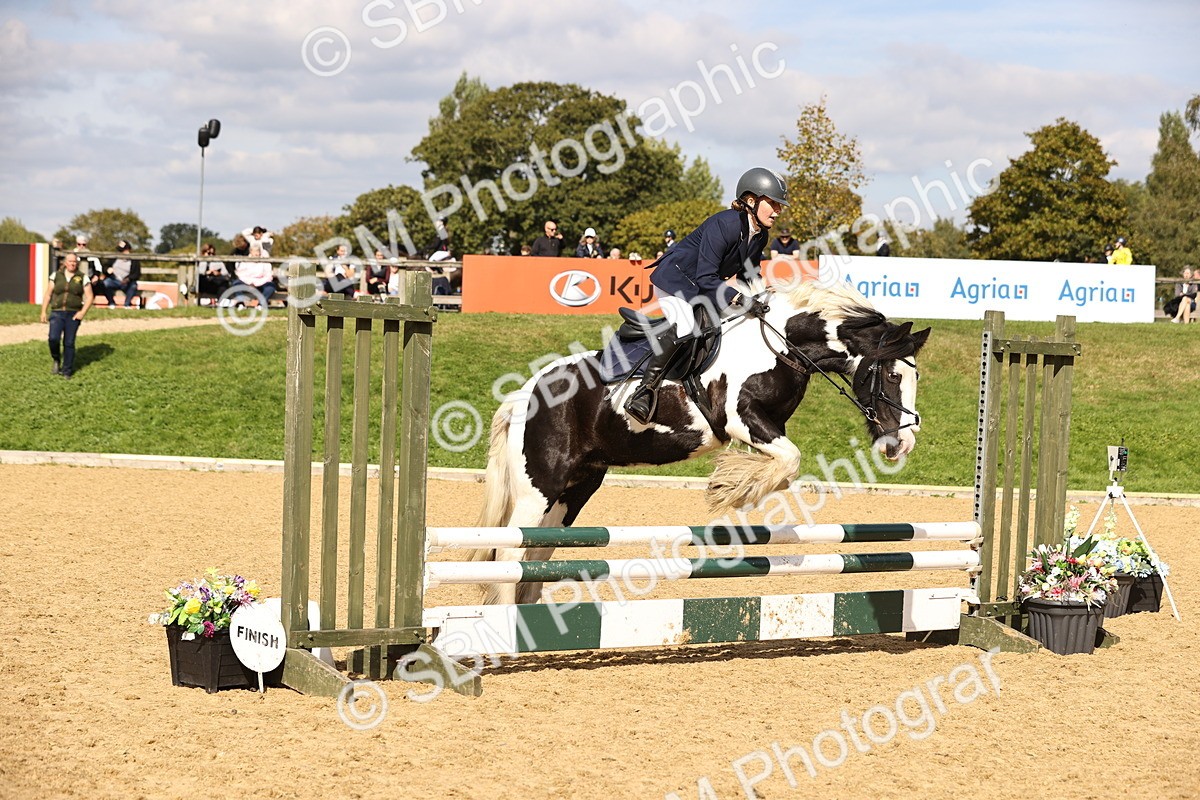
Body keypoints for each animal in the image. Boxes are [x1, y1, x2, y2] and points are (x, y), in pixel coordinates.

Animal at [472, 279, 931, 604]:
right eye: (893, 376)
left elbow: (785, 464)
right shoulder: (741, 420)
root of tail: (523, 394)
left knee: (536, 554)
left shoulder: (767, 424)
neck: (780, 345)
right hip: (539, 486)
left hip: (576, 487)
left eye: (914, 377)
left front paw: (734, 479)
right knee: (511, 553)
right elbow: (790, 460)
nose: (901, 445)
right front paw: (731, 486)